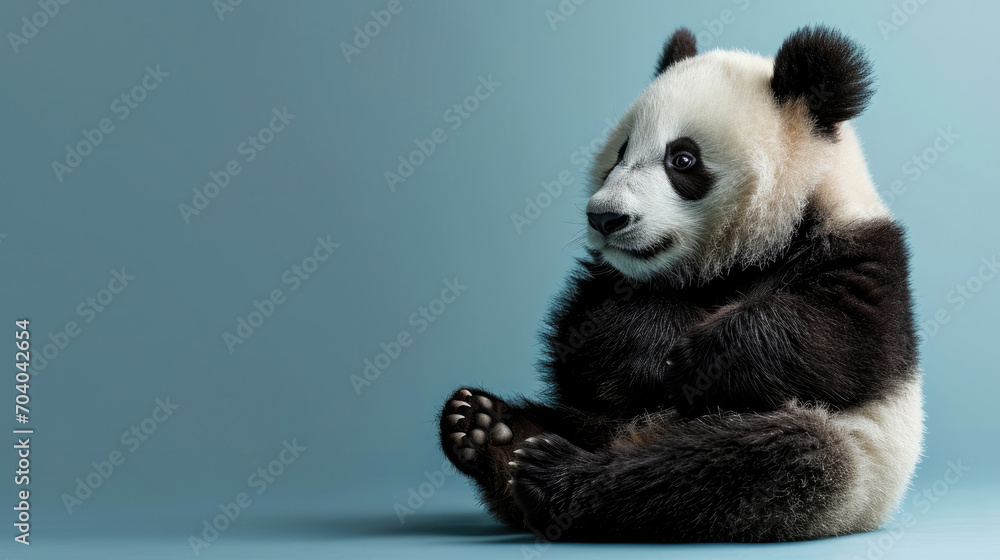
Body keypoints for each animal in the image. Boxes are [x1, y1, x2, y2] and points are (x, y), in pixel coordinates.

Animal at [438, 25, 923, 542]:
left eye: (683, 159)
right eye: (619, 153)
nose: (605, 217)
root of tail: (627, 437)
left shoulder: (864, 252)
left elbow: (843, 336)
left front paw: (695, 361)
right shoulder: (607, 279)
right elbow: (583, 345)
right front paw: (652, 354)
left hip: (847, 462)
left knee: (742, 465)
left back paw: (551, 475)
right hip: (597, 419)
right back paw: (488, 430)